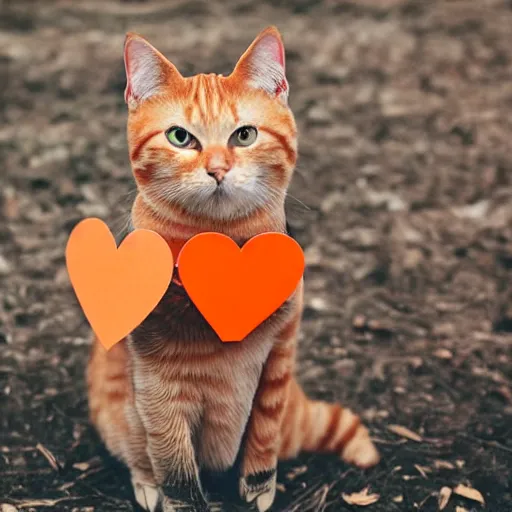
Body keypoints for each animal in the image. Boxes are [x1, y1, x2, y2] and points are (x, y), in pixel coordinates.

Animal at [86, 28, 378, 512]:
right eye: (180, 137)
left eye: (244, 135)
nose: (218, 169)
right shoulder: (157, 388)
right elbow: (176, 469)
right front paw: (177, 496)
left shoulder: (278, 359)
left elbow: (263, 435)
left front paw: (259, 488)